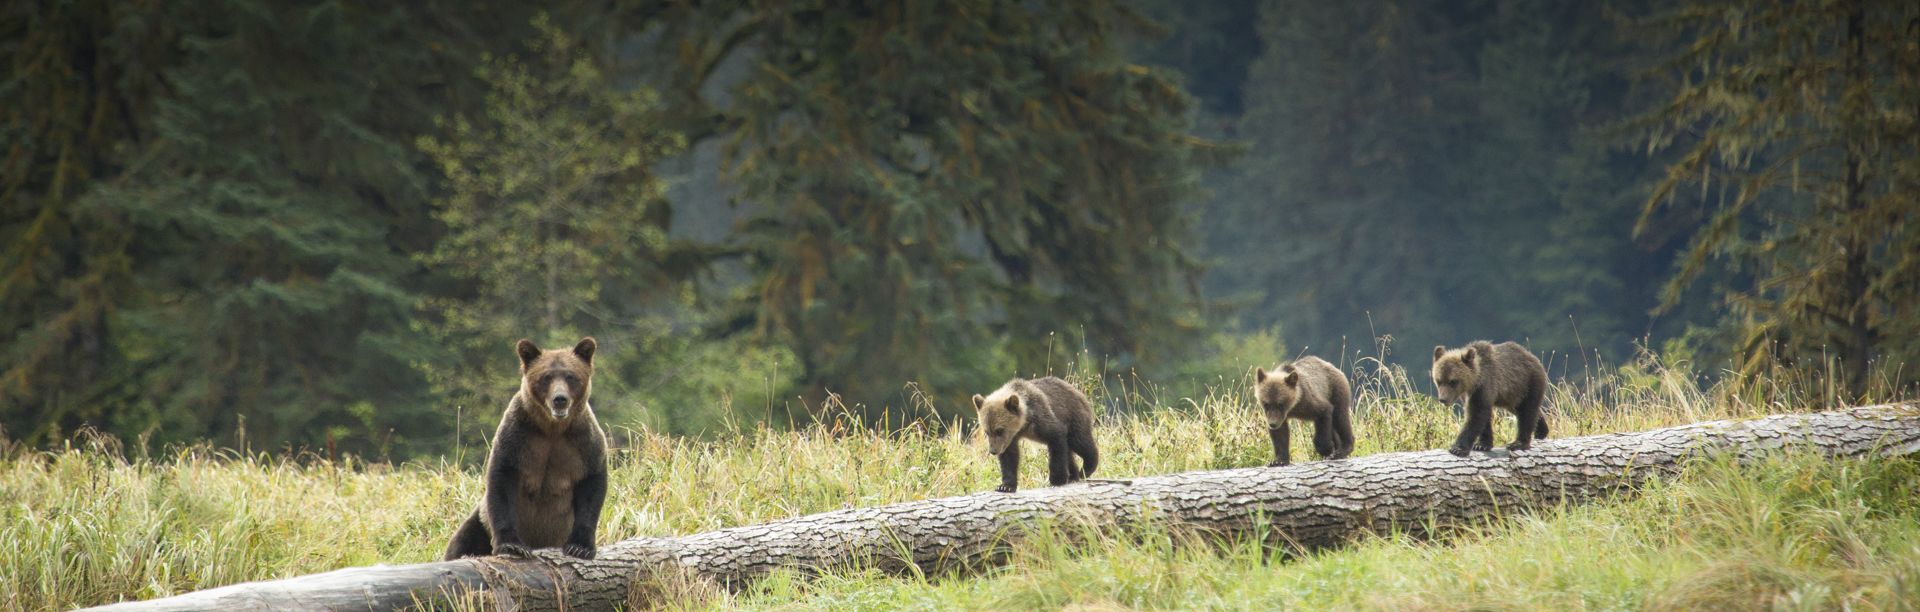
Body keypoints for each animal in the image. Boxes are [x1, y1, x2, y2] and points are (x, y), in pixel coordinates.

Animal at [441, 337, 606, 564]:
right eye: (546, 377)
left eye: (571, 376)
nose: (560, 399)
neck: (552, 428)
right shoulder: (518, 438)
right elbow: (502, 481)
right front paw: (512, 545)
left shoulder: (583, 444)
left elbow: (592, 486)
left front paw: (580, 547)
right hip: (480, 523)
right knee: (462, 540)